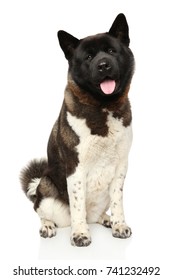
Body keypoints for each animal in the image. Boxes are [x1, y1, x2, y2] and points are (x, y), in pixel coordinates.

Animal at [19, 13, 134, 246]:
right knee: (40, 210)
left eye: (111, 51)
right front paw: (80, 234)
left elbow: (118, 201)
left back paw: (106, 219)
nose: (103, 65)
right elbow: (78, 204)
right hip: (46, 189)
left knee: (96, 214)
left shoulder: (121, 167)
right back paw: (47, 226)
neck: (102, 107)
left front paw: (119, 225)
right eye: (88, 57)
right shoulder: (75, 168)